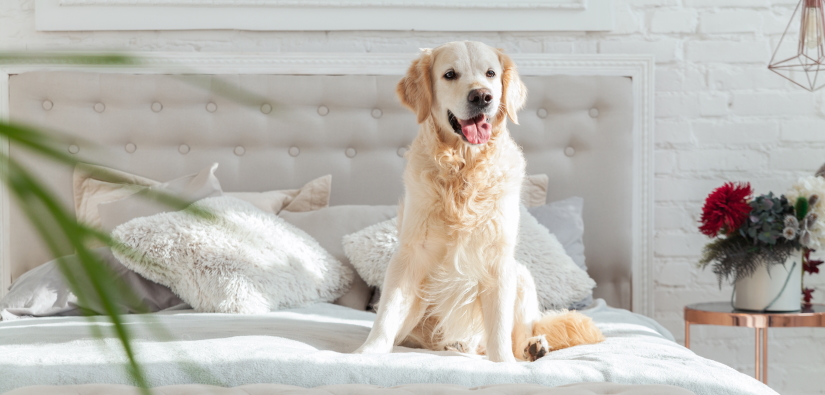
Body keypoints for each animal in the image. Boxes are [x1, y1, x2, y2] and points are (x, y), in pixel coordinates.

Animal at [356, 41, 604, 364]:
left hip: (522, 276)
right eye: (450, 74)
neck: (463, 170)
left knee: (519, 332)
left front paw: (503, 364)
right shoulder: (410, 254)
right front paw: (368, 351)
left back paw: (532, 346)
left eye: (490, 74)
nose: (482, 96)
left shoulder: (498, 260)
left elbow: (499, 328)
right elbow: (387, 312)